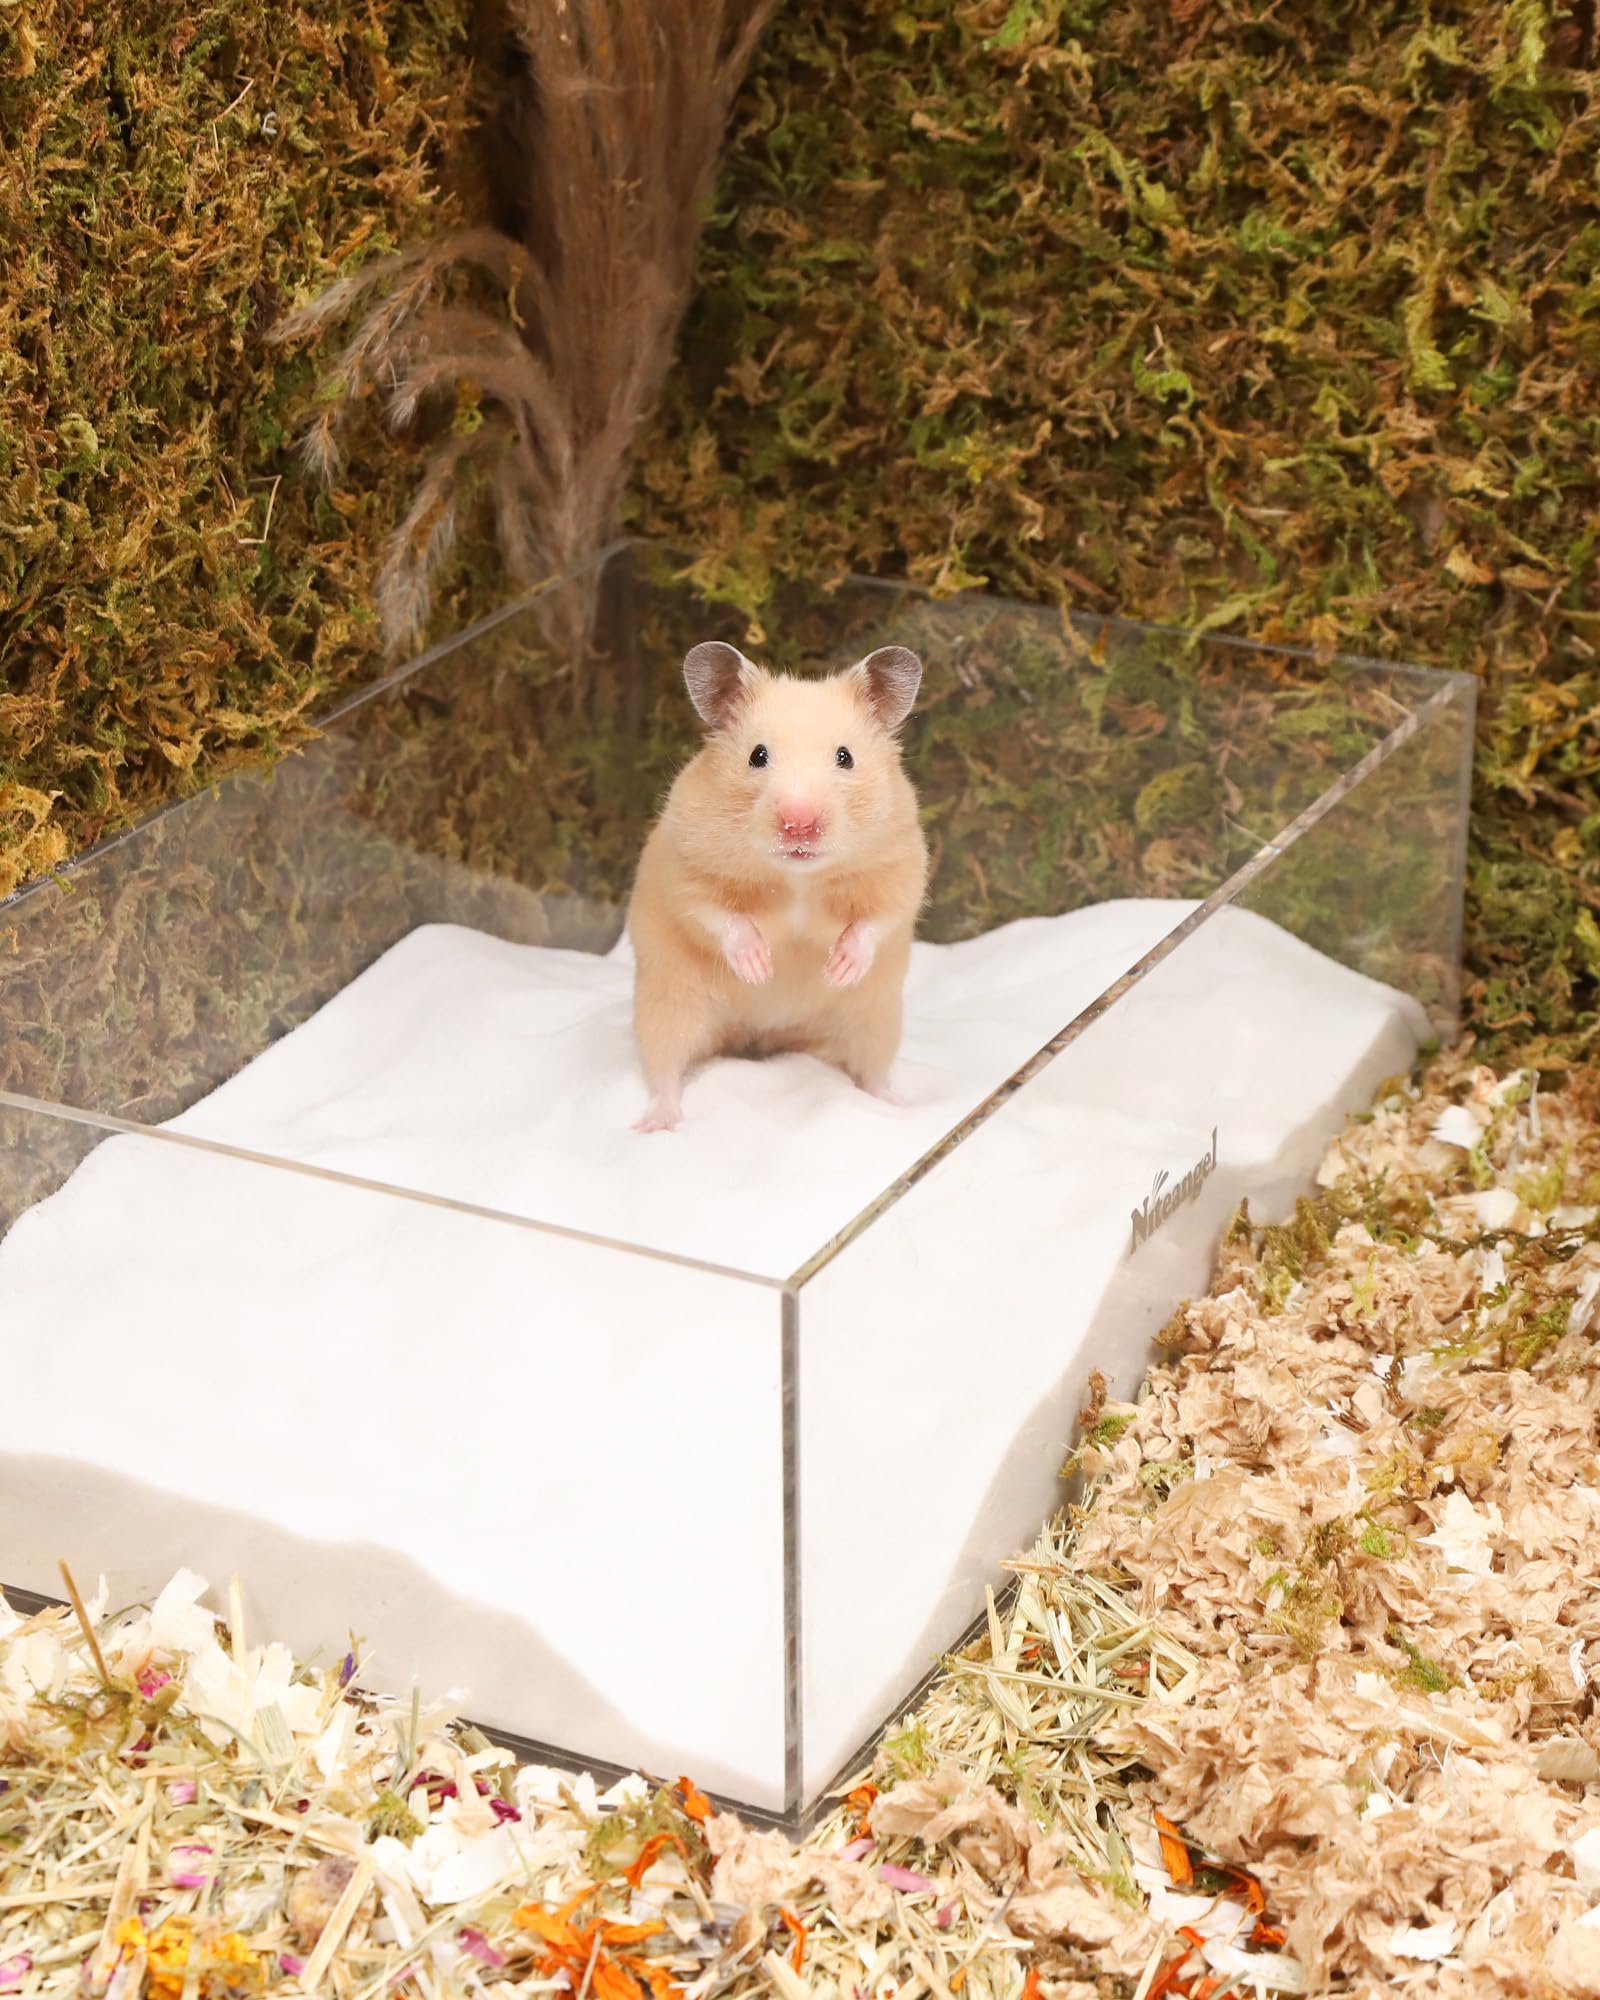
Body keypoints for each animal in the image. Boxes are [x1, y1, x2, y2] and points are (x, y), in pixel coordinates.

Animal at [626, 639, 928, 1132]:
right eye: (757, 756)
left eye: (845, 756)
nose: (799, 823)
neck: (798, 876)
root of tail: (762, 1037)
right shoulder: (685, 868)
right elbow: (716, 915)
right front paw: (760, 968)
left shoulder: (902, 866)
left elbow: (876, 920)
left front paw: (839, 968)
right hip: (667, 1005)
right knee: (664, 1070)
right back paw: (656, 1123)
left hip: (876, 1019)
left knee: (872, 1070)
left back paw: (896, 1103)